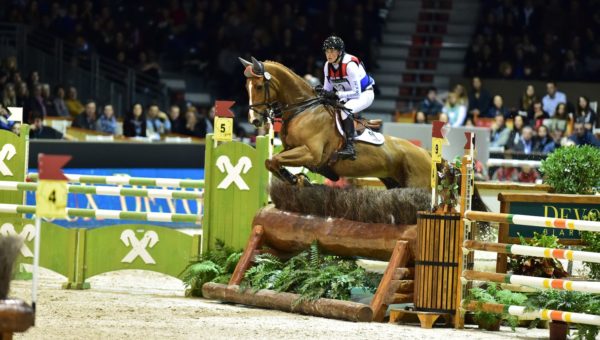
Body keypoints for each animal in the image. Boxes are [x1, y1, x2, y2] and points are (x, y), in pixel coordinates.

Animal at [238, 55, 432, 189]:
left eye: (259, 87)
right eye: (246, 87)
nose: (254, 120)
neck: (303, 110)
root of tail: (426, 154)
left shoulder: (311, 153)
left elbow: (275, 160)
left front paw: (296, 179)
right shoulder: (291, 149)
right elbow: (271, 161)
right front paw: (296, 179)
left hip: (417, 184)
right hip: (393, 181)